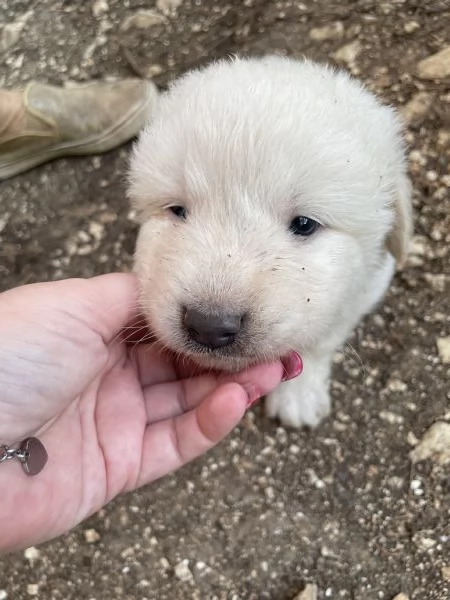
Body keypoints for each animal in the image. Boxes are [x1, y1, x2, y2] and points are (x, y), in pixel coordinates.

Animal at [125, 56, 412, 428]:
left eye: (304, 224)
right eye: (177, 210)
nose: (209, 326)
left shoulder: (360, 292)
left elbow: (320, 340)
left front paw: (298, 396)